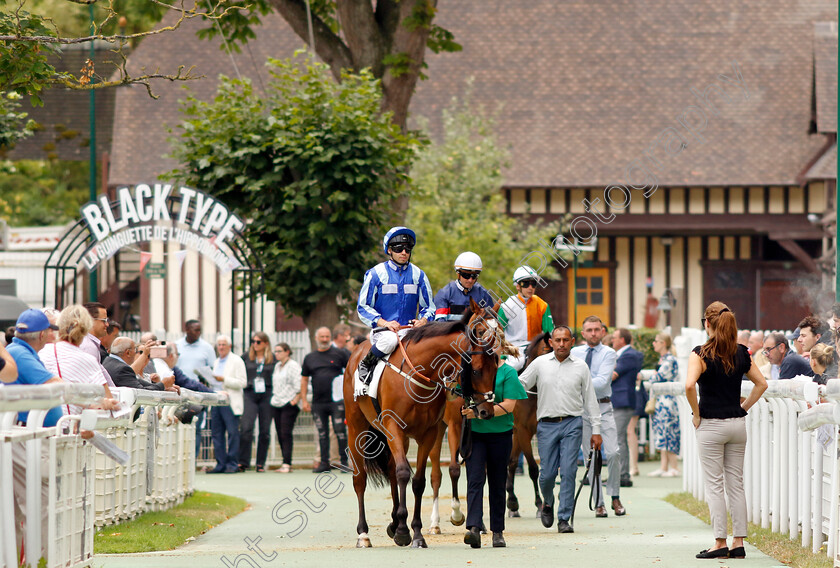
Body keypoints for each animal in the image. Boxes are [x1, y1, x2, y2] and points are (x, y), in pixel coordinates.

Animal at [342, 298, 498, 544]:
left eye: (495, 370)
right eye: (475, 371)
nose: (486, 410)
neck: (420, 374)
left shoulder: (429, 432)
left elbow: (418, 480)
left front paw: (414, 532)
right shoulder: (395, 427)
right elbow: (405, 473)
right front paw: (404, 532)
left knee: (392, 469)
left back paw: (394, 522)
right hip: (357, 426)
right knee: (360, 478)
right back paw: (364, 534)